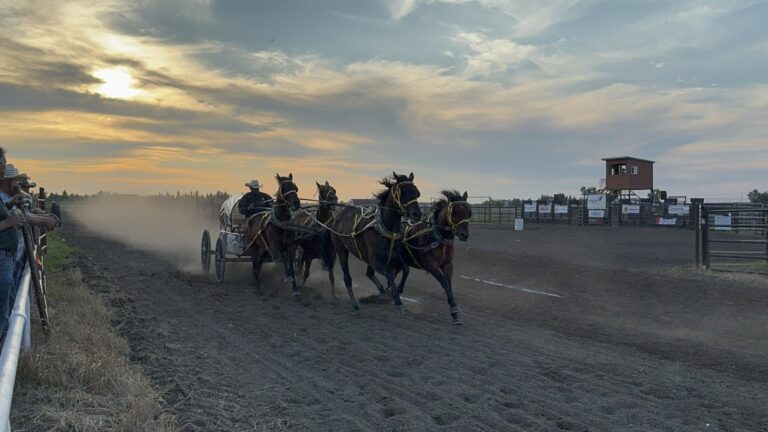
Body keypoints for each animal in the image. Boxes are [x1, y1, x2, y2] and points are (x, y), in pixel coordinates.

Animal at [328, 171, 424, 310]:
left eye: (417, 192)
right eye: (402, 192)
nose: (417, 214)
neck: (387, 229)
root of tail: (338, 216)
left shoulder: (393, 257)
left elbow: (406, 269)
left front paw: (398, 289)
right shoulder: (375, 261)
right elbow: (389, 275)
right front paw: (397, 299)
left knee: (369, 273)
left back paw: (381, 292)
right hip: (341, 250)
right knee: (347, 277)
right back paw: (354, 302)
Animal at [392, 189, 472, 324]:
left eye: (468, 211)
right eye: (454, 212)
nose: (464, 234)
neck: (437, 236)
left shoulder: (448, 264)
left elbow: (449, 283)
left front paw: (455, 314)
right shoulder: (431, 265)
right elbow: (444, 282)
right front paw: (454, 309)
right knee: (401, 271)